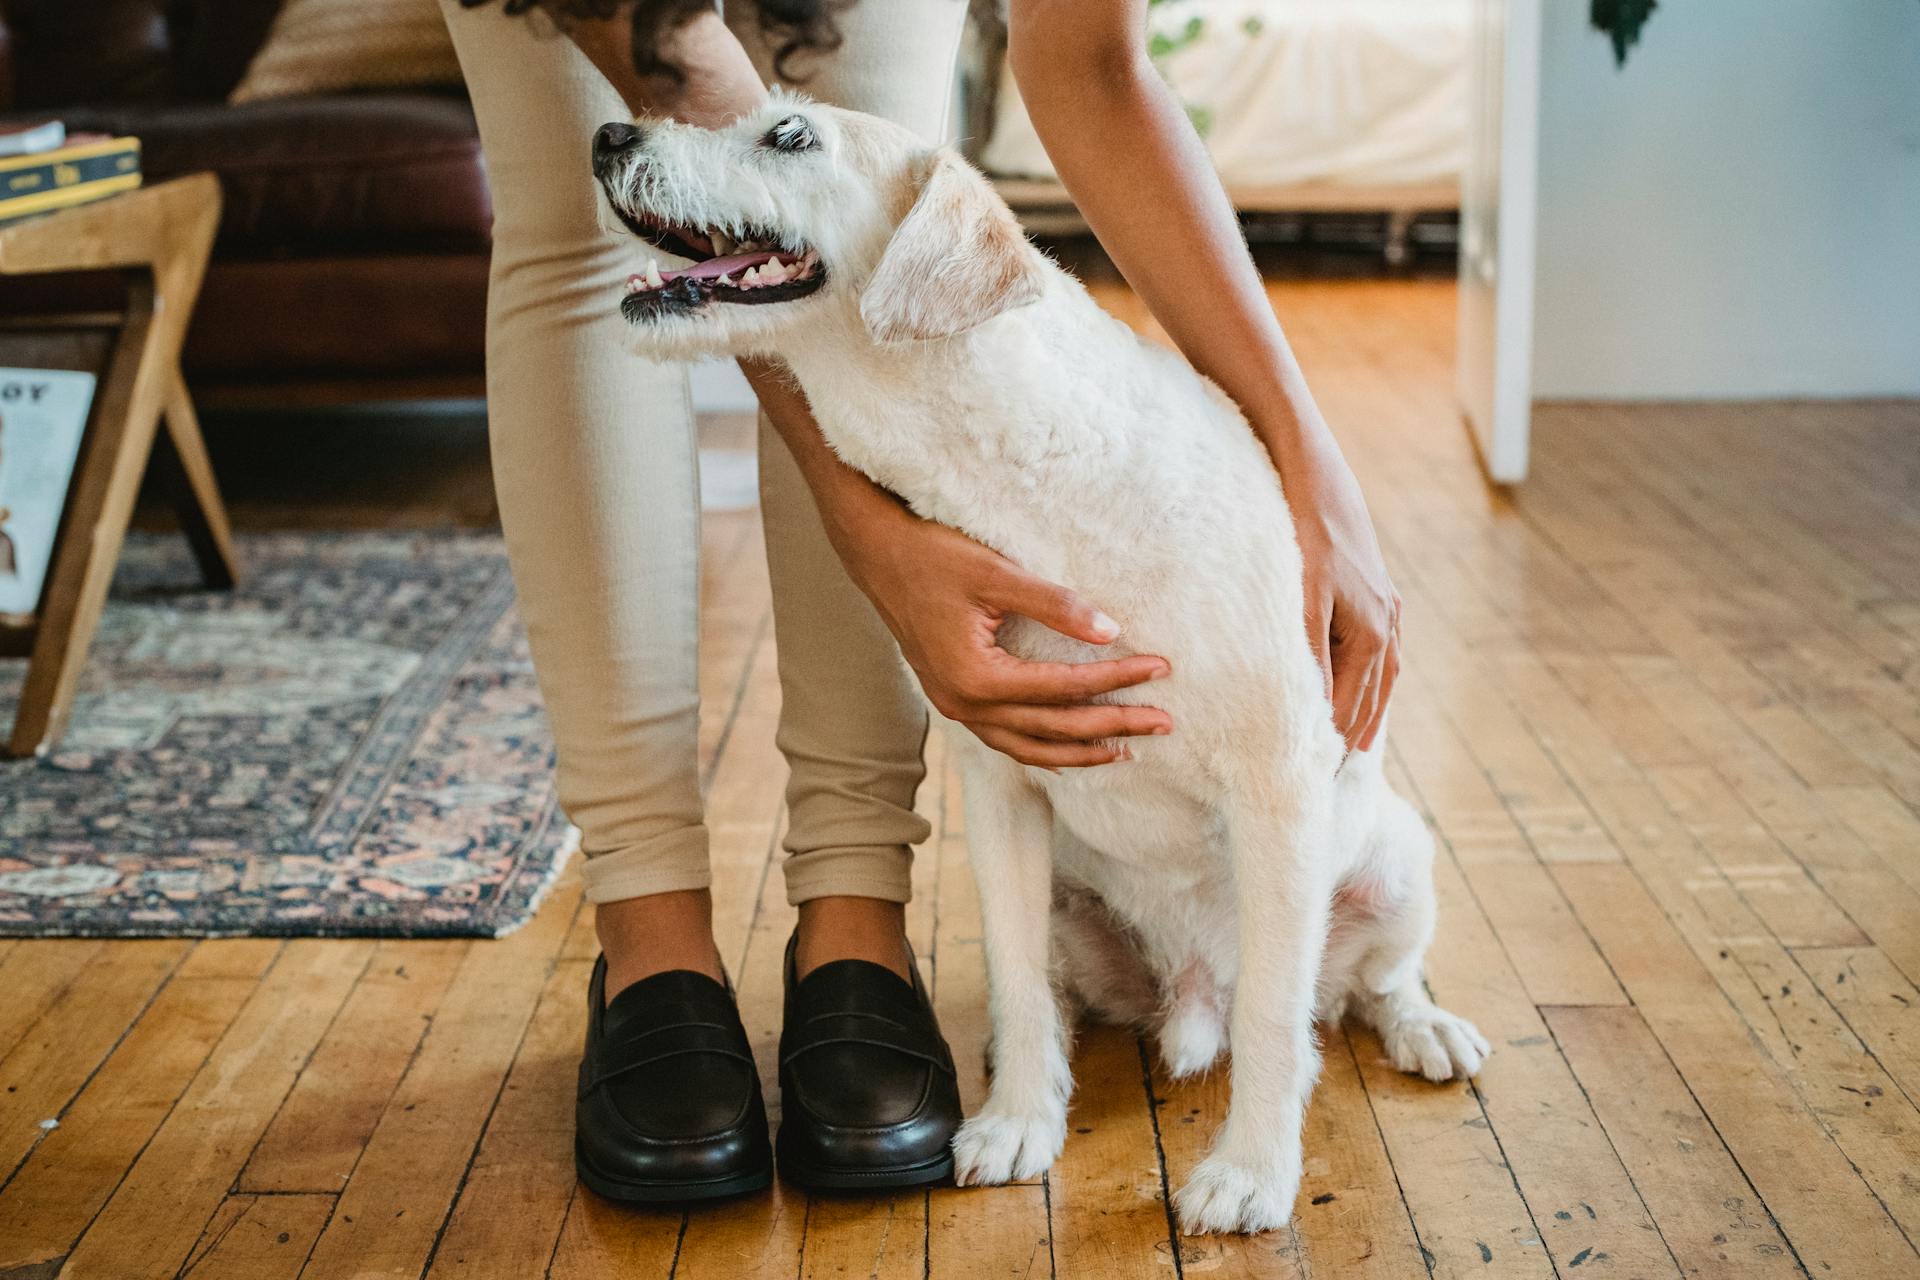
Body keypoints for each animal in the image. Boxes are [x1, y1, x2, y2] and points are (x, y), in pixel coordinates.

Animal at [591, 94, 1489, 1235]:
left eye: (790, 135)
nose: (608, 137)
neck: (1026, 475)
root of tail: (1193, 990)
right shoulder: (1003, 790)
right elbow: (1019, 981)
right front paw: (1020, 1119)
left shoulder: (1278, 791)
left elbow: (1279, 1021)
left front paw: (1251, 1171)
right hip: (1072, 899)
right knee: (1065, 995)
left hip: (1397, 862)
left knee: (1369, 984)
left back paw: (1425, 1028)